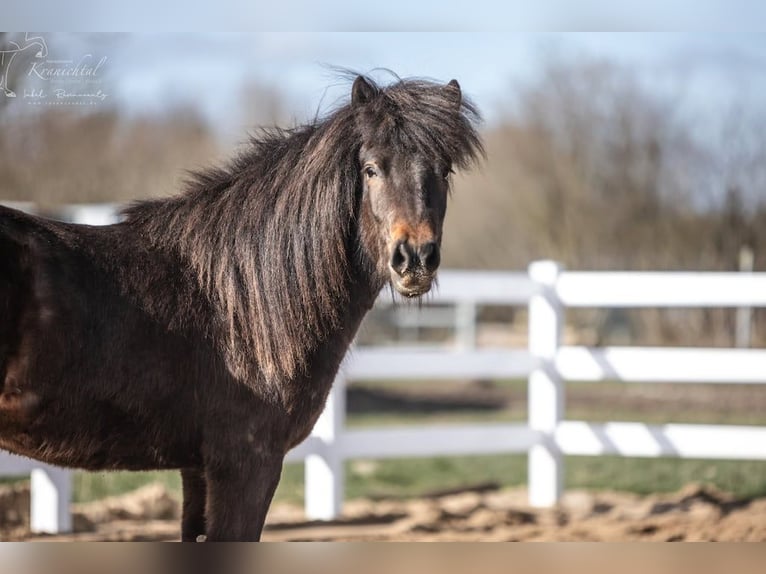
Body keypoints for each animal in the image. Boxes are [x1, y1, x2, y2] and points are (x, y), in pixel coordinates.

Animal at [0, 74, 484, 544]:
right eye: (370, 169)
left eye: (443, 171)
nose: (414, 259)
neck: (240, 305)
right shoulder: (246, 466)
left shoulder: (197, 468)